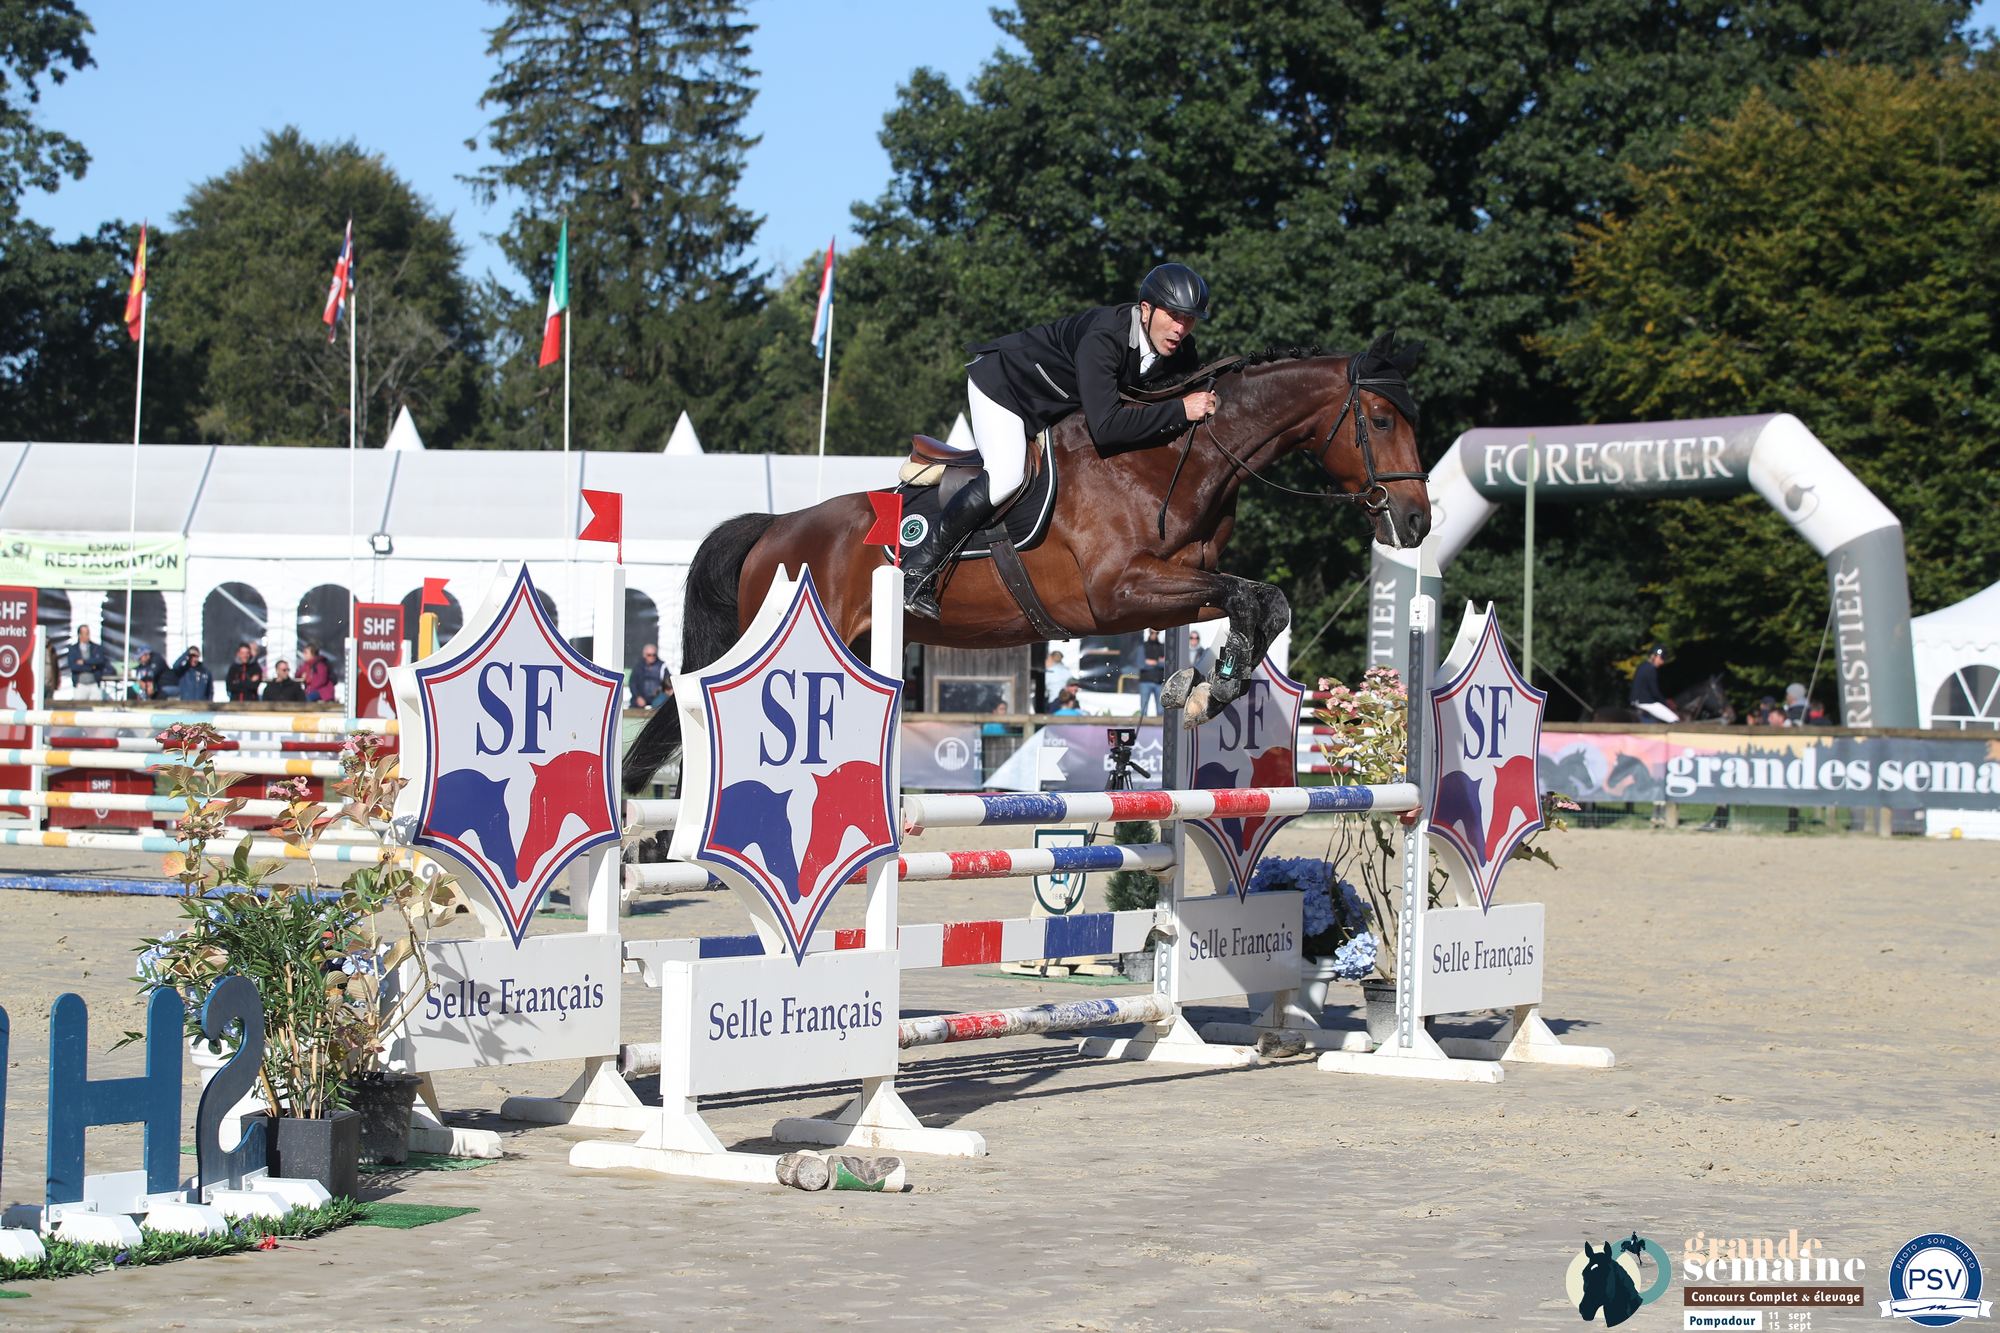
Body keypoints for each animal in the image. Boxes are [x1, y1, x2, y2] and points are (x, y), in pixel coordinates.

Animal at [622, 334, 1430, 795]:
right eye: (1379, 419)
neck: (1170, 457)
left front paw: (1201, 685)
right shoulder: (1115, 593)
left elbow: (1261, 601)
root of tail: (774, 529)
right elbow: (1251, 598)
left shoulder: (1173, 587)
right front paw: (1209, 687)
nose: (1417, 520)